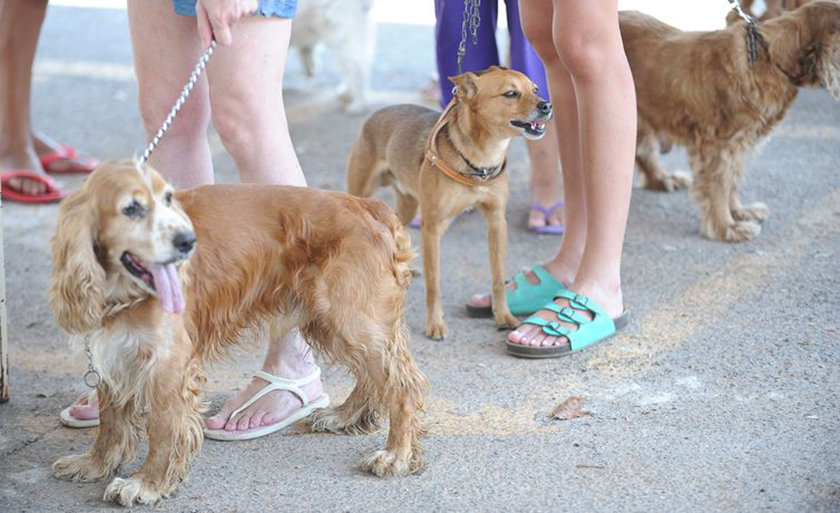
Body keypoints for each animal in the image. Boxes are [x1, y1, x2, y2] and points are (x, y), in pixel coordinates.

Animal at [47, 160, 426, 504]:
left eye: (168, 198)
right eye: (132, 208)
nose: (188, 241)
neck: (123, 290)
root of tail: (368, 206)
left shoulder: (168, 364)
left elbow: (163, 428)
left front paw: (147, 483)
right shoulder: (115, 353)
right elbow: (110, 423)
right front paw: (94, 464)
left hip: (349, 317)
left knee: (402, 384)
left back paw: (396, 455)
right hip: (332, 321)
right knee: (372, 376)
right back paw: (344, 416)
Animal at [346, 68, 552, 340]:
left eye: (535, 89)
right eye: (510, 93)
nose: (547, 105)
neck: (481, 161)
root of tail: (376, 113)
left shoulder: (497, 222)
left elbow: (498, 278)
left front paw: (503, 316)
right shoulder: (433, 229)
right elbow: (434, 284)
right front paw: (435, 324)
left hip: (408, 205)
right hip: (361, 193)